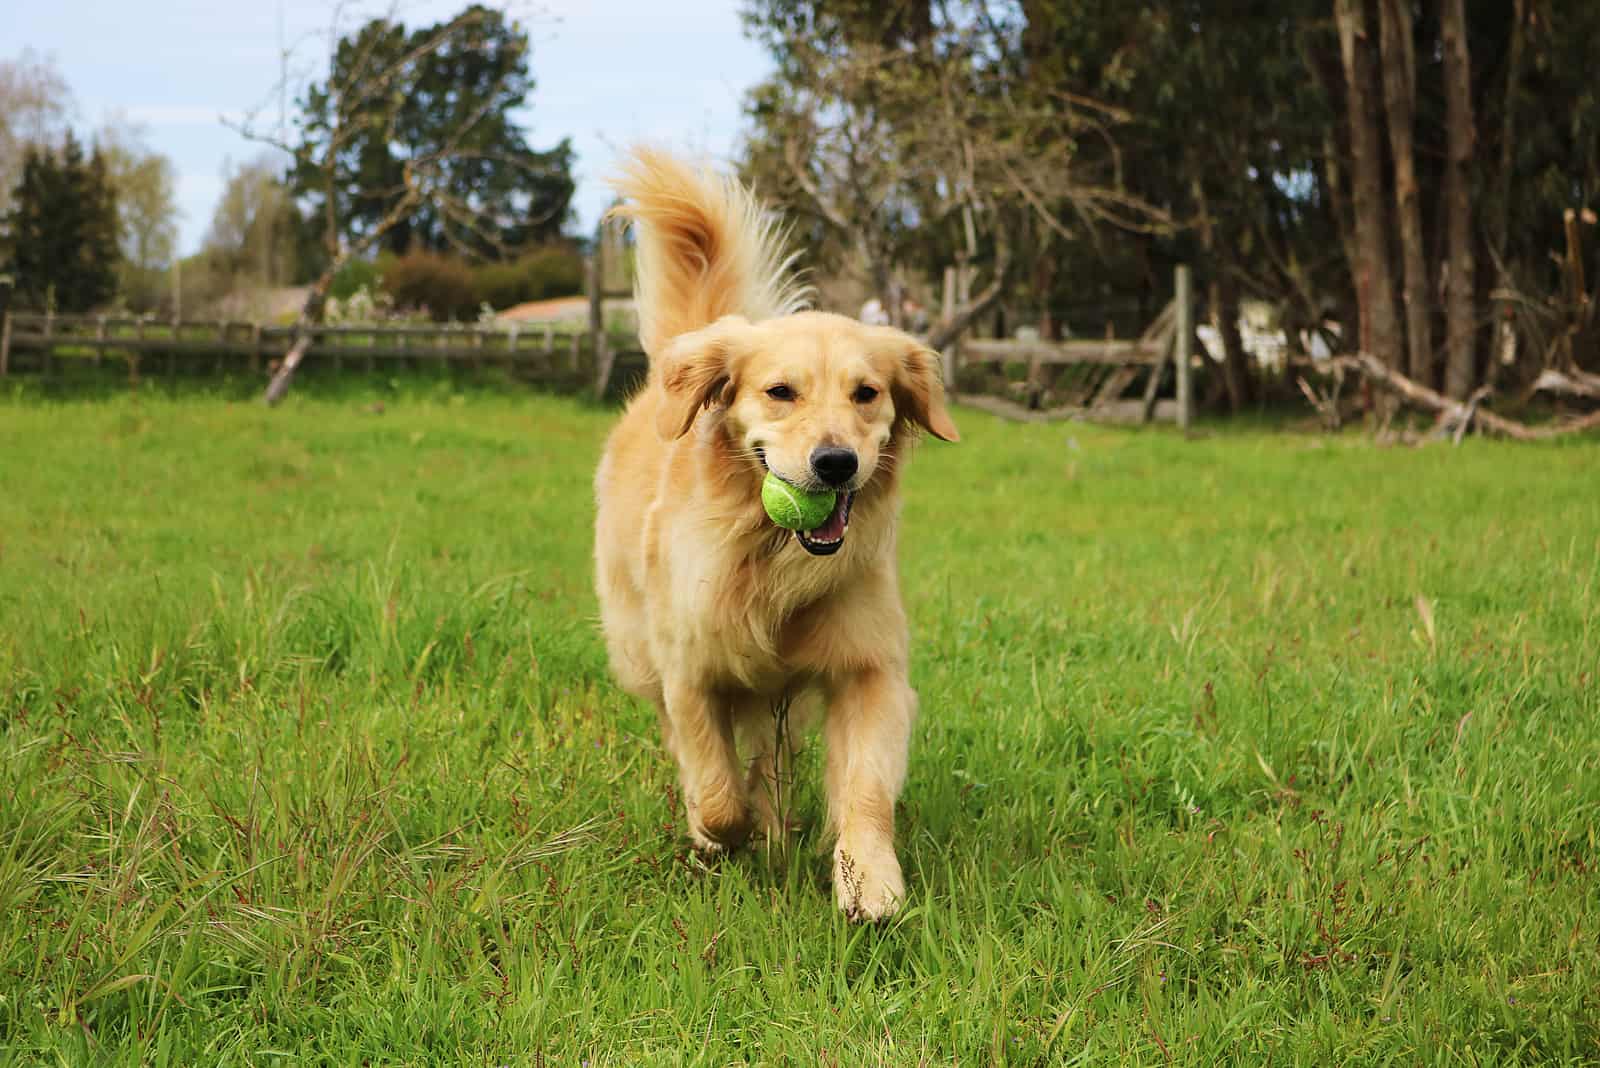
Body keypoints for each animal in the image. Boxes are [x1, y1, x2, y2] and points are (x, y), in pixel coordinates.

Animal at [595, 146, 953, 920]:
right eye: (780, 392)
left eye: (867, 393)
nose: (836, 462)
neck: (770, 558)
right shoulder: (691, 669)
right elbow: (714, 785)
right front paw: (719, 832)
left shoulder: (868, 667)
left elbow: (865, 786)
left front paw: (869, 880)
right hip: (638, 647)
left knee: (770, 753)